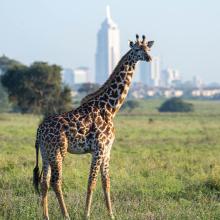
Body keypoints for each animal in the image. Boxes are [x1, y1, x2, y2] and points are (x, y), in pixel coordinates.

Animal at [33, 34, 155, 220]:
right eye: (136, 49)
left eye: (148, 48)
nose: (149, 58)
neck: (110, 108)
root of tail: (39, 131)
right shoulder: (98, 149)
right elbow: (92, 182)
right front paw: (87, 214)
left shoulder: (107, 150)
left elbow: (106, 182)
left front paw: (111, 214)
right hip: (58, 151)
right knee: (56, 181)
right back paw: (66, 215)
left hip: (46, 153)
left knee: (44, 182)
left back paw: (46, 216)